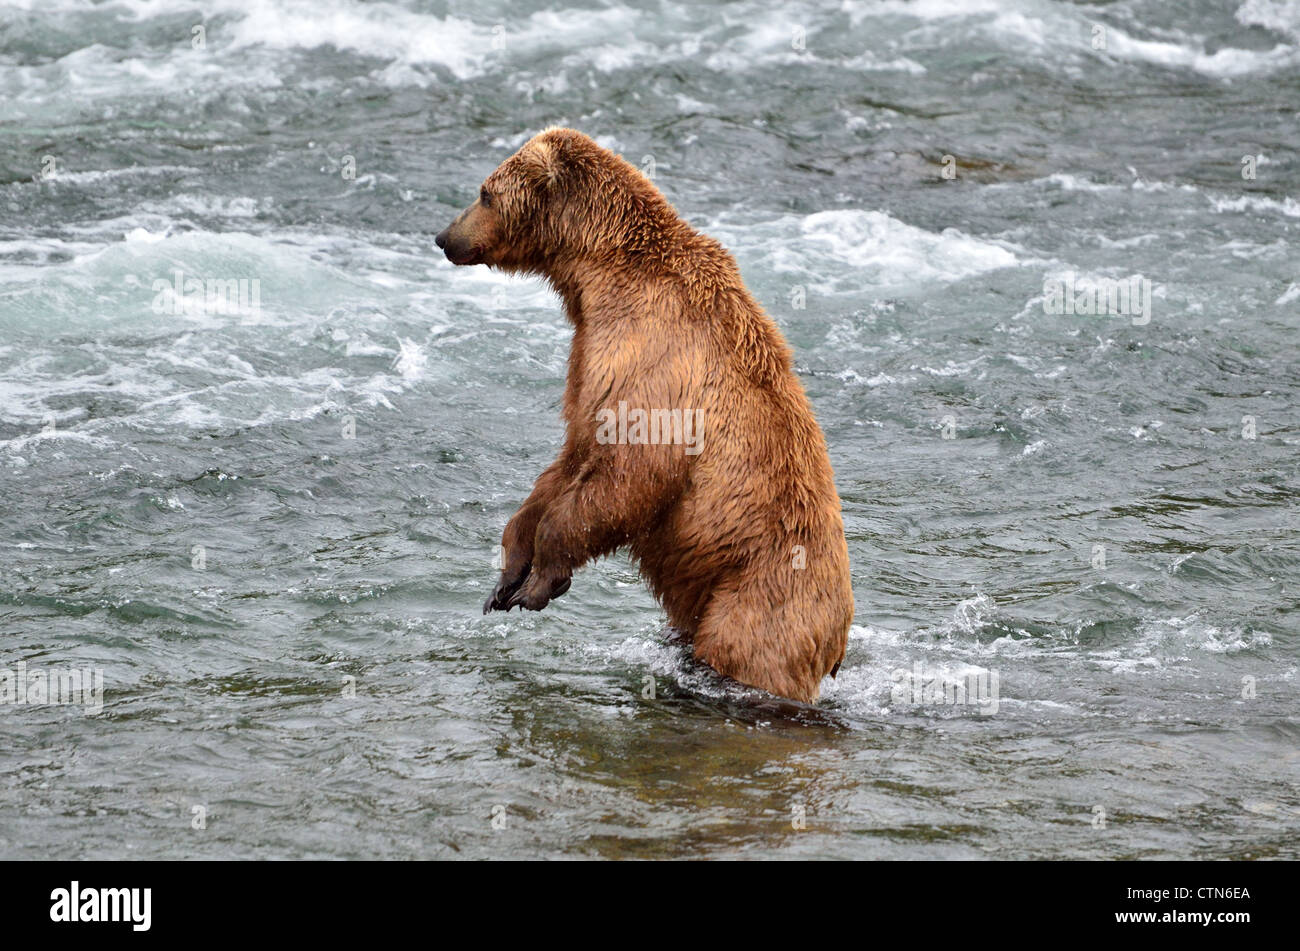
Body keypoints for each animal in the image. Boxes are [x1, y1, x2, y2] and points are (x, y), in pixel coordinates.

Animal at [435, 128, 853, 703]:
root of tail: (839, 641)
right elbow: (573, 453)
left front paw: (540, 582)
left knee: (744, 649)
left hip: (762, 596)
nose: (443, 237)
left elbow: (634, 472)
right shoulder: (590, 360)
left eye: (484, 193)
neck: (598, 277)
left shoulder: (652, 357)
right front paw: (507, 575)